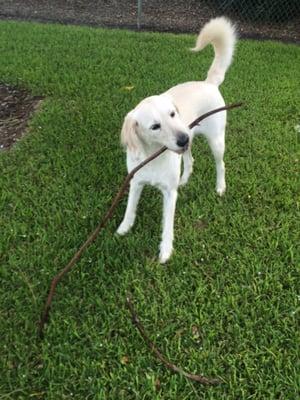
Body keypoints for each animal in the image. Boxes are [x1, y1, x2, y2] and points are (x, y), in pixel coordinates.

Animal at [117, 17, 237, 264]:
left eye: (173, 114)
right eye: (155, 126)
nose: (183, 139)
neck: (153, 156)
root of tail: (209, 83)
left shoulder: (169, 194)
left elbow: (167, 226)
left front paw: (165, 250)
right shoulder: (135, 182)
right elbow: (130, 208)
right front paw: (124, 227)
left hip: (216, 142)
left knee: (220, 165)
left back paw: (220, 187)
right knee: (190, 161)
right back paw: (185, 178)